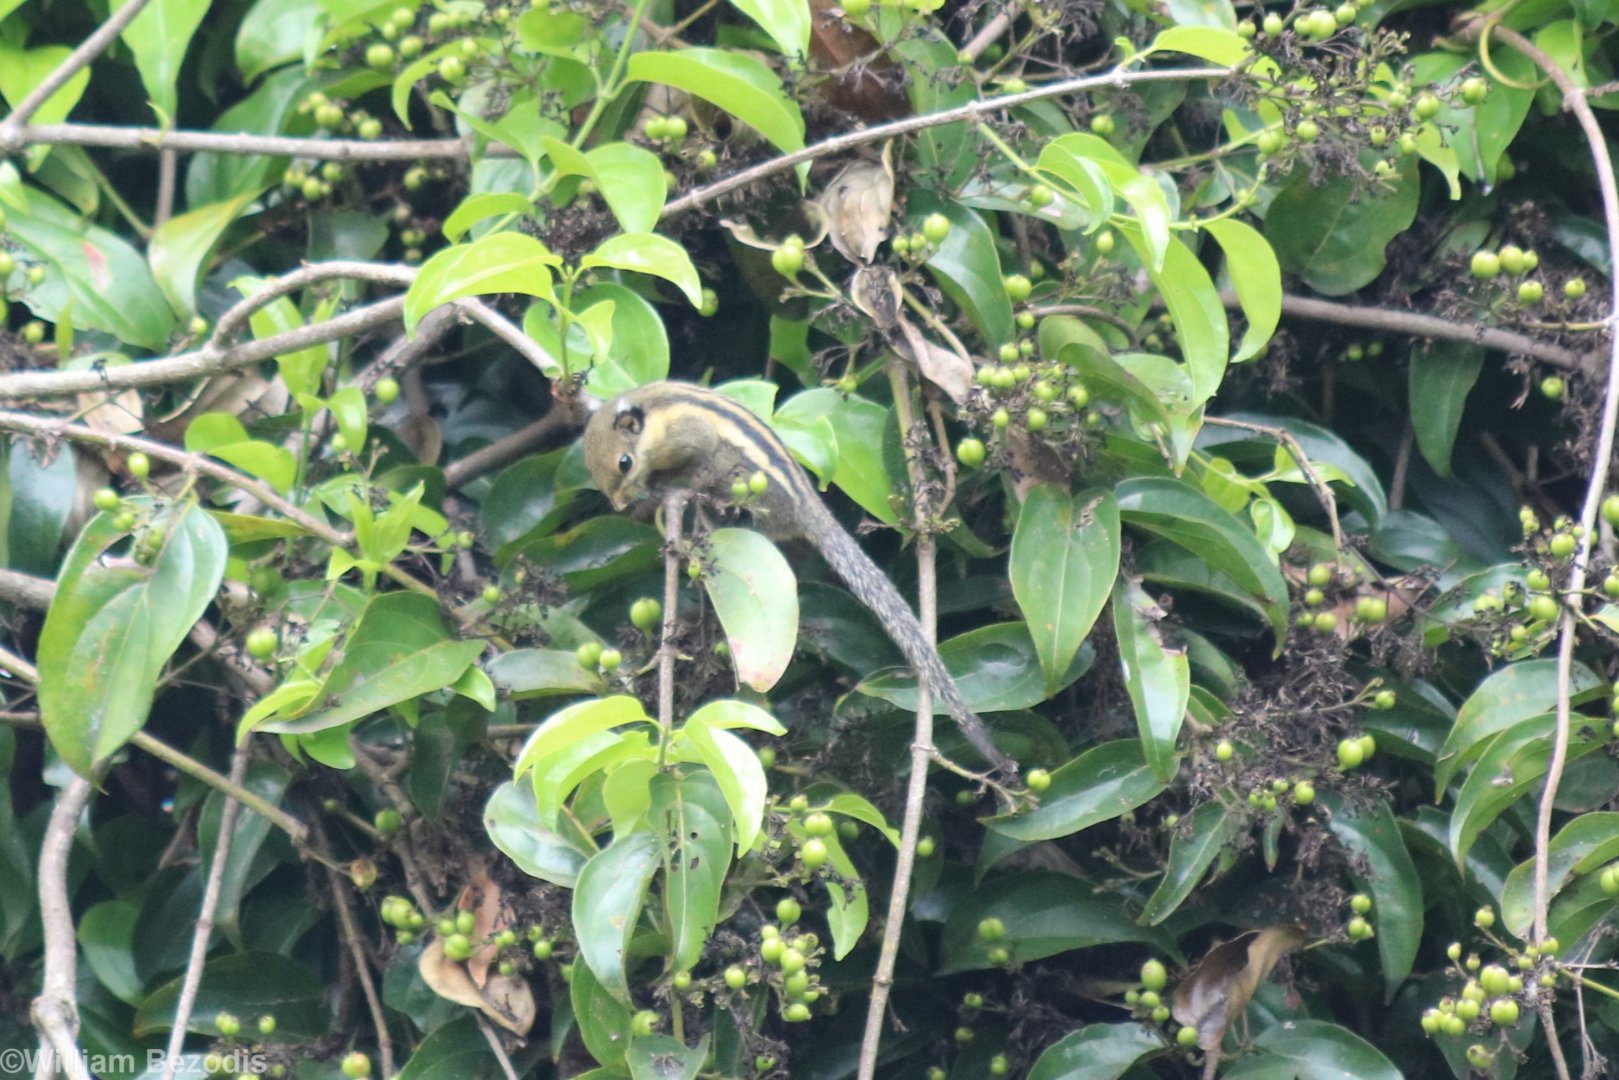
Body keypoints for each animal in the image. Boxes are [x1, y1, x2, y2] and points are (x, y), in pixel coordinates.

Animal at [582, 380, 1016, 779]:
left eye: (624, 462)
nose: (619, 504)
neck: (653, 419)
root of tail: (808, 508)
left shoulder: (689, 433)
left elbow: (695, 458)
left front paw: (670, 484)